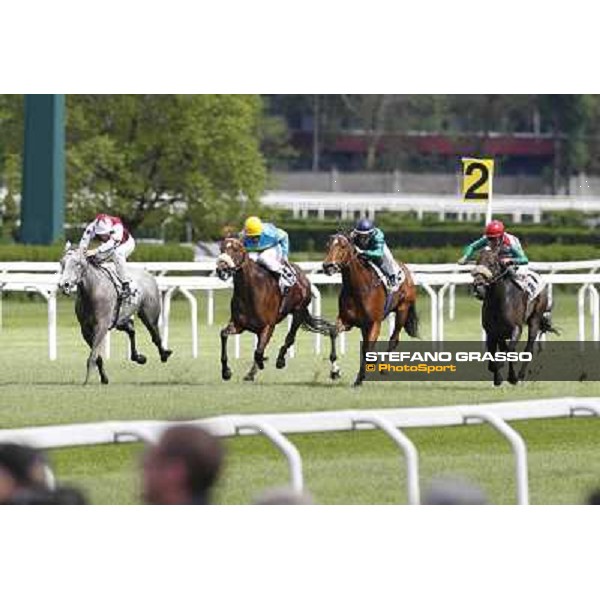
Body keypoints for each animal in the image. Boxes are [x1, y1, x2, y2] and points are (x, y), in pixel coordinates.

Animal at [58, 240, 172, 384]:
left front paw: (86, 381)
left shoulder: (101, 326)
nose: (64, 284)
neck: (92, 291)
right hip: (120, 320)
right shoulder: (85, 329)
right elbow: (97, 356)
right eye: (62, 262)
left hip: (149, 315)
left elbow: (93, 355)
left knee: (155, 336)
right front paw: (104, 378)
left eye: (78, 264)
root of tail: (147, 274)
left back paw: (164, 354)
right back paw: (138, 357)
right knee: (131, 330)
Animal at [217, 237, 340, 382]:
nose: (221, 269)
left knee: (290, 338)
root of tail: (303, 276)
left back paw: (280, 360)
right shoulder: (239, 324)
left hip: (298, 312)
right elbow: (224, 334)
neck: (249, 292)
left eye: (235, 249)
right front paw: (226, 372)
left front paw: (262, 362)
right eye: (221, 249)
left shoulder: (268, 326)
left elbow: (259, 352)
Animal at [324, 232, 418, 386]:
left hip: (402, 310)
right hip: (365, 325)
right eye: (328, 245)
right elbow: (333, 332)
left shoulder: (375, 322)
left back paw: (383, 367)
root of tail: (405, 269)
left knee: (393, 339)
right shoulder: (347, 320)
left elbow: (368, 348)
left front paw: (359, 378)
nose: (327, 266)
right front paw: (335, 371)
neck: (357, 289)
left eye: (343, 246)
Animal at [468, 246, 556, 386]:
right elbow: (493, 355)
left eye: (492, 264)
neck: (499, 301)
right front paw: (497, 377)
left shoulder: (516, 329)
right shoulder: (492, 332)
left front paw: (512, 377)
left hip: (535, 319)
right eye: (477, 263)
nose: (478, 286)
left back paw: (520, 375)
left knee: (528, 348)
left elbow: (509, 351)